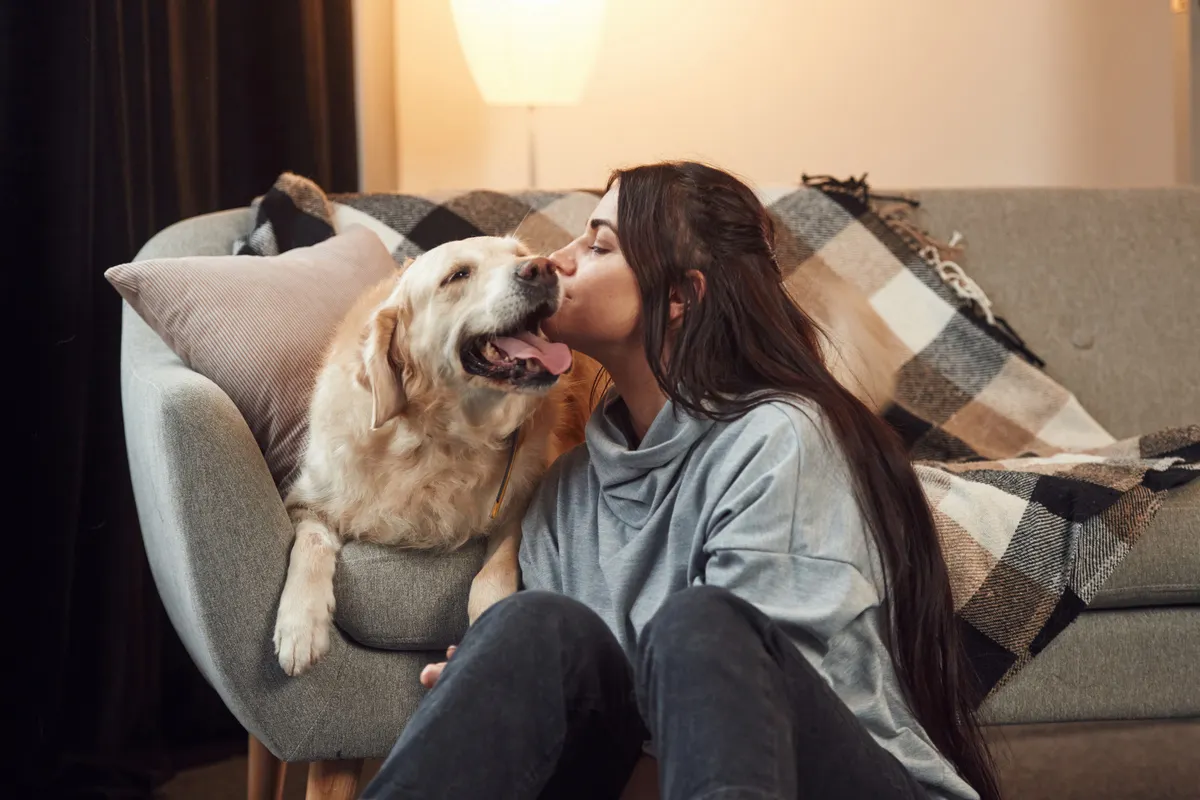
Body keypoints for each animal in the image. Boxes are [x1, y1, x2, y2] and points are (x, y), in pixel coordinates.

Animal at [274, 236, 597, 676]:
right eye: (458, 275)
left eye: (520, 254)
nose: (544, 267)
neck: (440, 439)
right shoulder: (309, 499)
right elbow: (309, 543)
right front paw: (300, 625)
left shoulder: (520, 502)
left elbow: (492, 575)